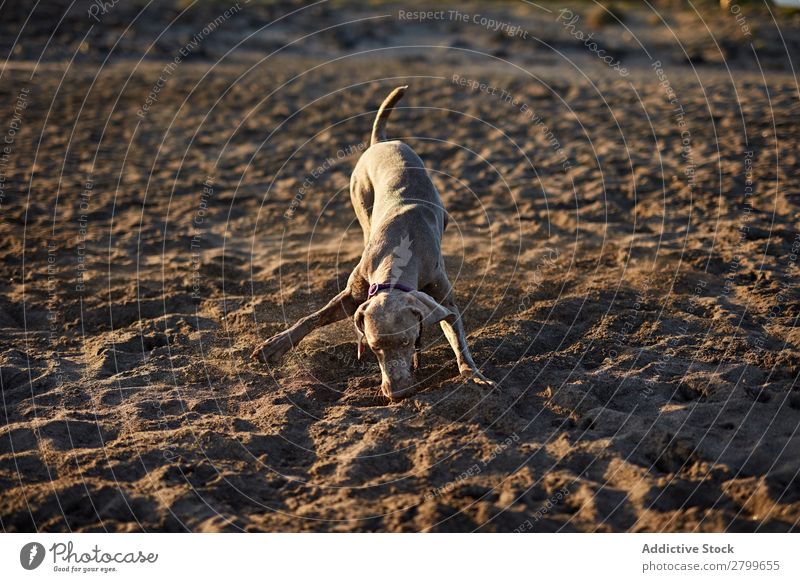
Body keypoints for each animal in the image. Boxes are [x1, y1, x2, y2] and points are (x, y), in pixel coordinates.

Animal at [252, 85, 494, 402]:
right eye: (374, 346)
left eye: (405, 341)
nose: (398, 393)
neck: (397, 258)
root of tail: (382, 141)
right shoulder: (354, 293)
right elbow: (312, 318)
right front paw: (274, 345)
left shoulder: (444, 300)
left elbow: (459, 342)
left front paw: (473, 374)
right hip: (361, 198)